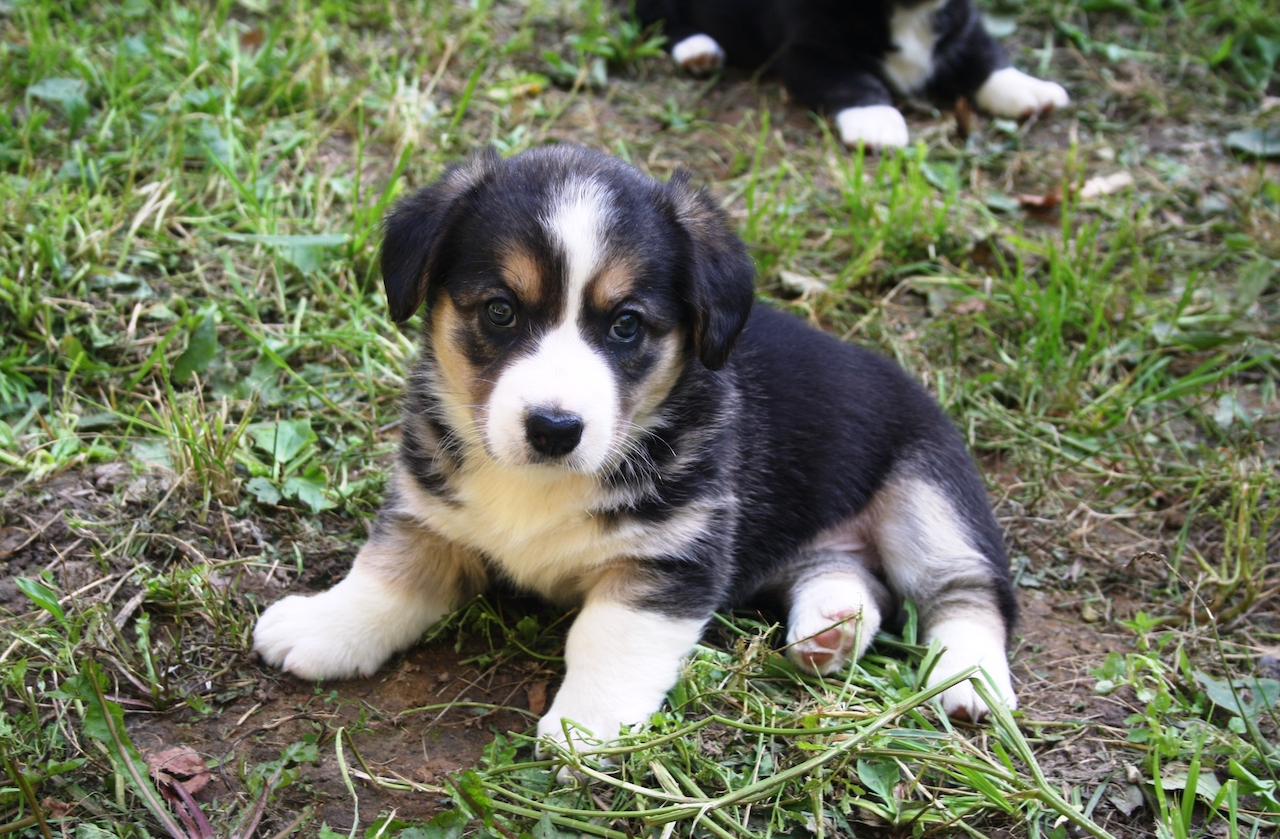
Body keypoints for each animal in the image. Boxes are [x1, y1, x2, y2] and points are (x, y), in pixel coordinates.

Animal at [254, 146, 1018, 753]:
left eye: (625, 325)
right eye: (500, 311)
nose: (554, 428)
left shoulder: (668, 559)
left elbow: (605, 637)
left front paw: (584, 728)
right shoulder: (430, 514)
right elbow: (385, 577)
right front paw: (323, 626)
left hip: (928, 495)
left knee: (966, 593)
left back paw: (969, 681)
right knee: (846, 572)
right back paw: (831, 631)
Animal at [640, 0, 1070, 151]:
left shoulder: (962, 26)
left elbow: (987, 57)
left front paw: (1027, 89)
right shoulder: (809, 52)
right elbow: (855, 81)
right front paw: (877, 121)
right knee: (655, 16)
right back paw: (698, 47)